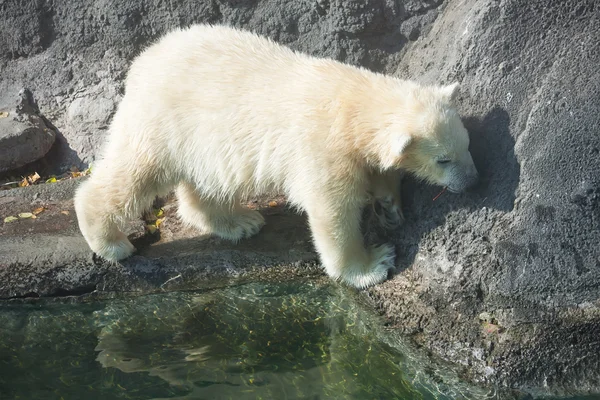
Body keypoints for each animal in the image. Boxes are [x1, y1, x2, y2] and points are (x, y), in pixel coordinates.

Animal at [74, 24, 478, 288]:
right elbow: (333, 208)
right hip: (163, 119)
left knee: (207, 182)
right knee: (135, 171)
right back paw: (110, 241)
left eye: (467, 145)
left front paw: (389, 206)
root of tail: (142, 61)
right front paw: (371, 265)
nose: (472, 180)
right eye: (443, 159)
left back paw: (239, 222)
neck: (353, 103)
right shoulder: (322, 145)